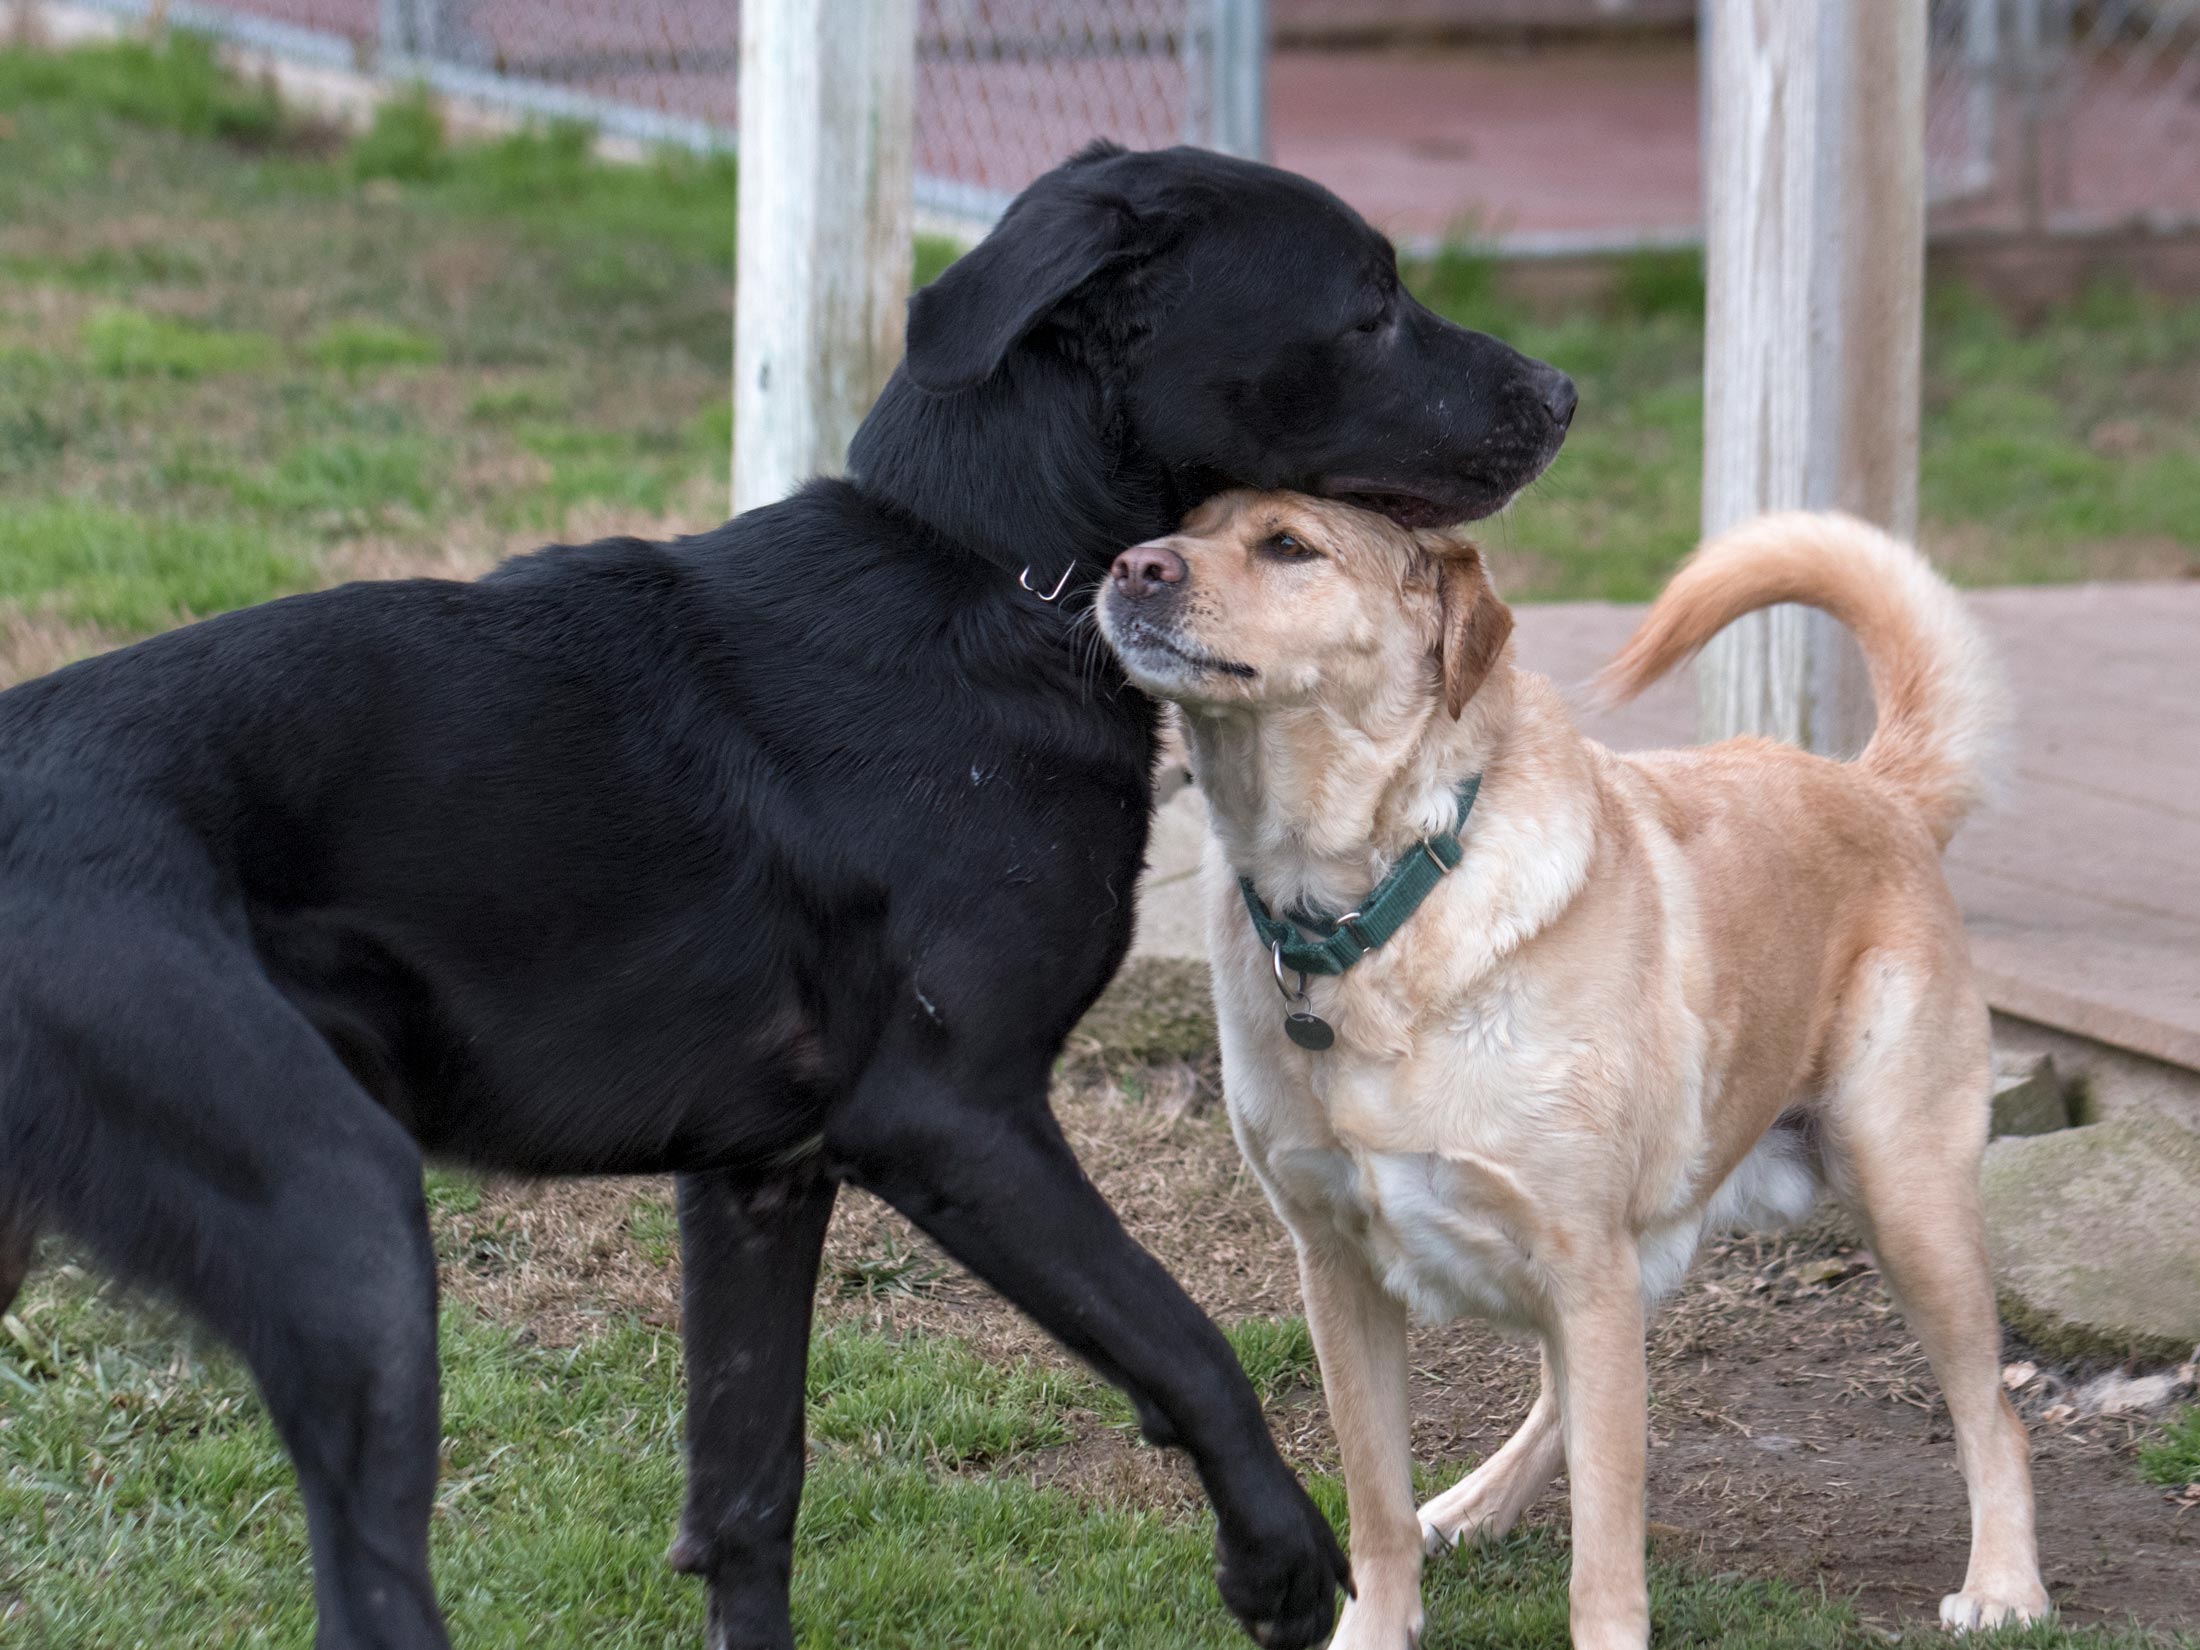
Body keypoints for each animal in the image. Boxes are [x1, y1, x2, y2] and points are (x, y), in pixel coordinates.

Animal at [0, 146, 1573, 1649]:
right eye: (1368, 310)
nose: (1564, 394)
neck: (984, 577)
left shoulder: (758, 1177)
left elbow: (751, 1490)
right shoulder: (951, 1116)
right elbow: (1181, 1337)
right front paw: (1276, 1558)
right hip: (345, 1220)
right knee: (373, 1595)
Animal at [1096, 493, 2049, 1650]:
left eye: (1289, 545)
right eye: (1185, 521)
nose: (1129, 567)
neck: (1369, 907)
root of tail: (1879, 788)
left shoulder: (1582, 1263)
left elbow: (1604, 1551)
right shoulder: (1340, 1270)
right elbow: (1375, 1512)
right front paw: (1378, 1622)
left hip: (1903, 1201)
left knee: (1994, 1413)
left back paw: (2005, 1586)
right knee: (1562, 1402)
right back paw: (1477, 1501)